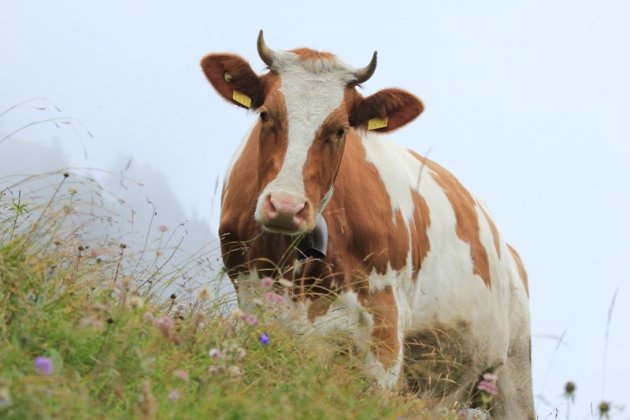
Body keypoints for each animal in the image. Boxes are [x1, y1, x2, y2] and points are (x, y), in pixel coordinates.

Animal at [200, 31, 536, 418]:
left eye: (340, 129)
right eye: (266, 114)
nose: (285, 207)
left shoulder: (384, 326)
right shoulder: (256, 304)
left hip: (513, 375)